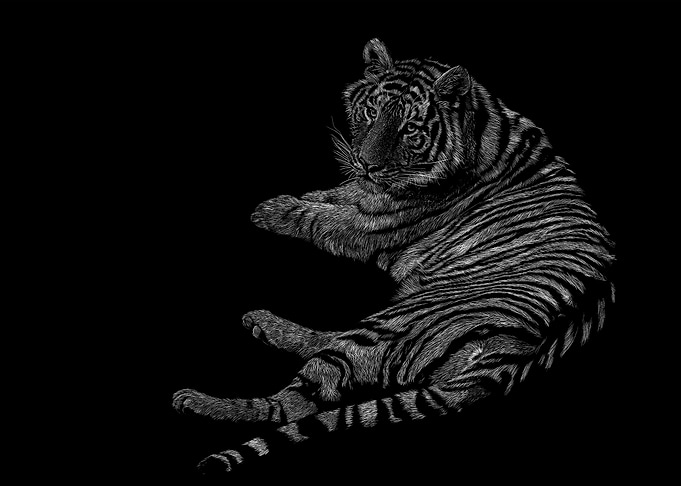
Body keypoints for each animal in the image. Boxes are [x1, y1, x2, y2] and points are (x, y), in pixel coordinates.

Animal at [172, 38, 615, 476]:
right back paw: (260, 323)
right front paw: (301, 196)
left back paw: (197, 400)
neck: (484, 126)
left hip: (401, 318)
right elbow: (332, 195)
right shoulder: (363, 194)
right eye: (372, 112)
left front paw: (270, 210)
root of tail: (519, 354)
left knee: (294, 401)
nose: (367, 164)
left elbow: (319, 217)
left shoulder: (371, 223)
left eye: (410, 128)